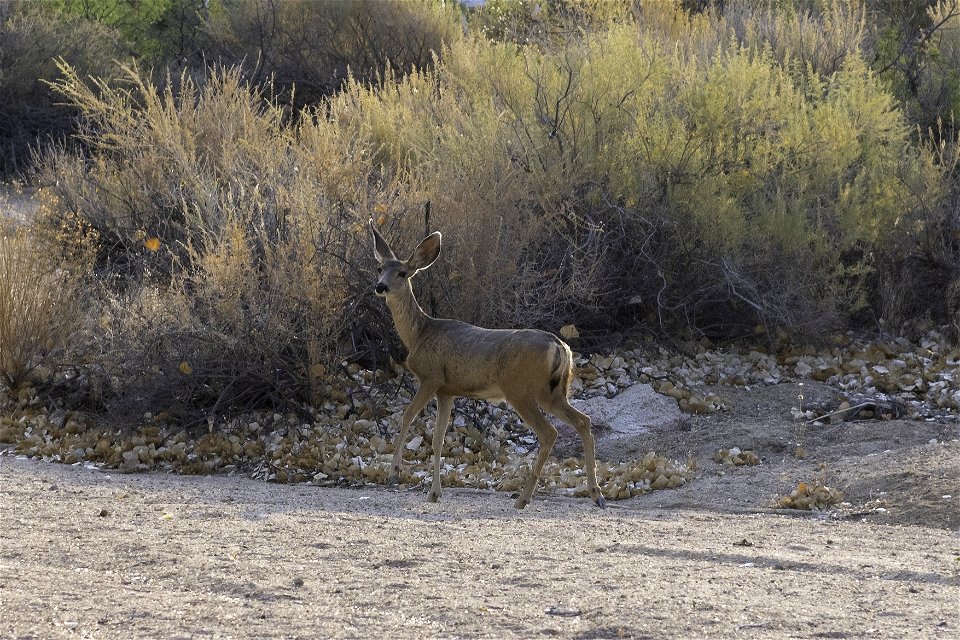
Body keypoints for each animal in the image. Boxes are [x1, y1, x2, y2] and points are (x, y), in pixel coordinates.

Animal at [370, 220, 604, 510]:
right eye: (380, 268)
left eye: (402, 273)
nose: (380, 286)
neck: (419, 333)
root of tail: (561, 347)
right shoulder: (447, 391)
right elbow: (438, 439)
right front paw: (434, 493)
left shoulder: (431, 377)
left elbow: (407, 416)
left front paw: (394, 473)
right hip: (552, 391)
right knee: (583, 420)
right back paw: (596, 494)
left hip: (519, 389)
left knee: (549, 433)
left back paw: (523, 499)